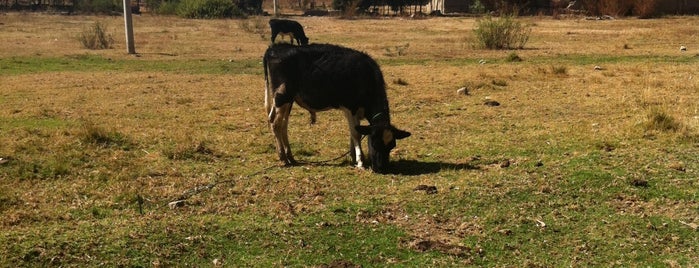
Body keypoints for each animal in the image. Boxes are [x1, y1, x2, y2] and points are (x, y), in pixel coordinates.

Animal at [266, 43, 412, 174]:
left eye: (392, 145)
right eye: (374, 143)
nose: (382, 169)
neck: (366, 76)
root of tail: (276, 47)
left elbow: (353, 132)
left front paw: (353, 157)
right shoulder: (350, 108)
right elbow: (356, 133)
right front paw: (360, 162)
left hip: (288, 101)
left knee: (283, 125)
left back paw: (290, 156)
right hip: (282, 97)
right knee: (275, 124)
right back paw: (283, 158)